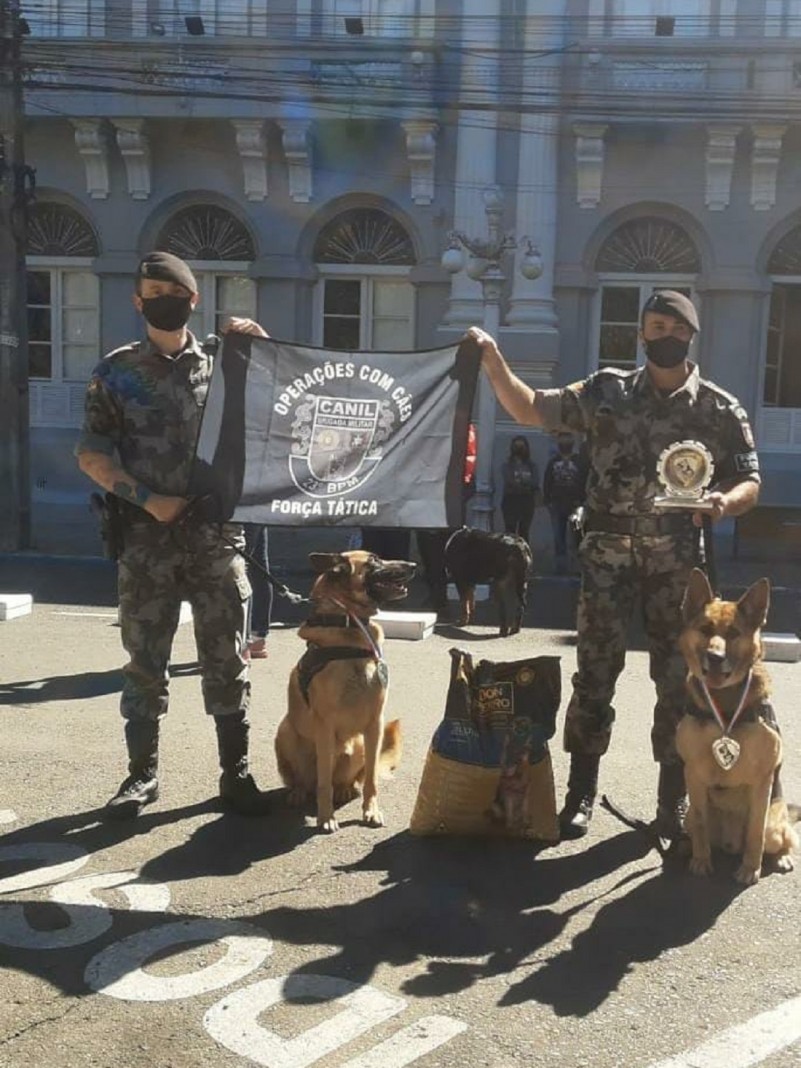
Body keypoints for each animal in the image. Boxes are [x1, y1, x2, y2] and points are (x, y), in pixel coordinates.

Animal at [275, 551, 414, 833]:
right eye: (374, 561)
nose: (413, 566)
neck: (349, 626)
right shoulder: (325, 725)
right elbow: (324, 783)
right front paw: (326, 817)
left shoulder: (375, 724)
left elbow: (371, 778)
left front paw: (371, 811)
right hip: (285, 733)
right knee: (305, 781)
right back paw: (298, 792)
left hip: (359, 743)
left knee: (345, 781)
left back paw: (345, 789)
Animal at [679, 572, 801, 888]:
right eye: (705, 629)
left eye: (733, 633)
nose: (715, 657)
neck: (726, 703)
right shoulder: (693, 773)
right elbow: (700, 823)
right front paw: (700, 860)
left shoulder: (763, 781)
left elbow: (755, 832)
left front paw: (750, 869)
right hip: (690, 817)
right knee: (695, 827)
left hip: (775, 825)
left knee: (784, 837)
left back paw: (781, 857)